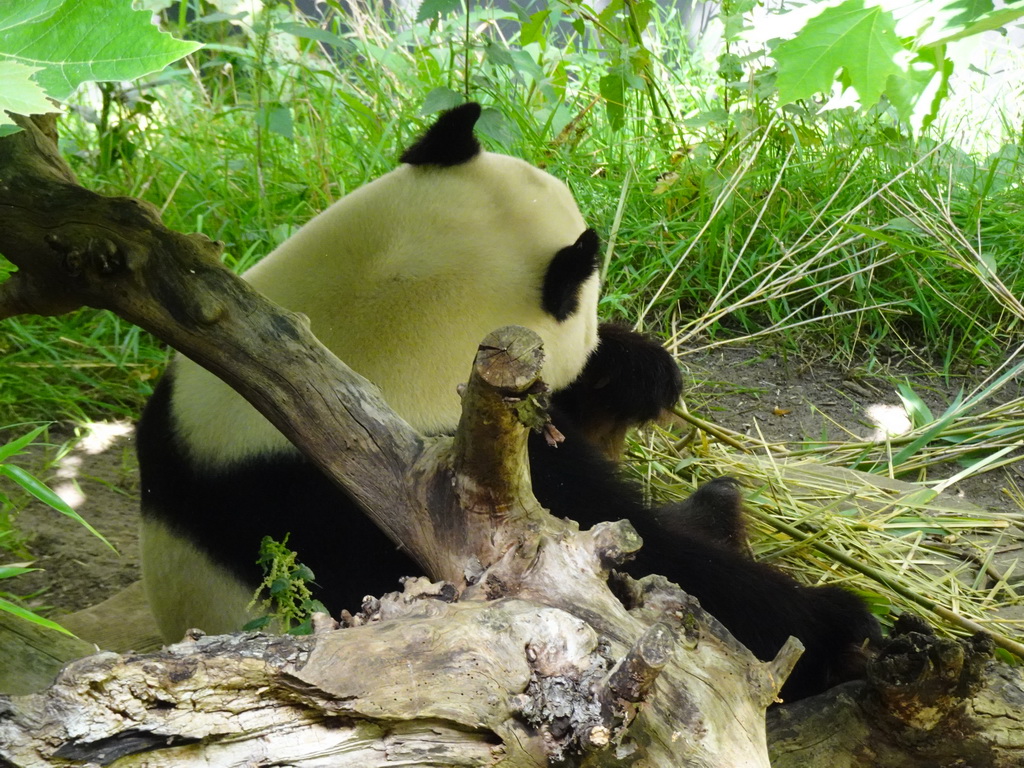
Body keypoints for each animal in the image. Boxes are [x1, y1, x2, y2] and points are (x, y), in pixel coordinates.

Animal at [134, 102, 872, 704]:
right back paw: (723, 509)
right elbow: (631, 563)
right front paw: (840, 627)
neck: (374, 320)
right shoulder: (415, 488)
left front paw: (641, 371)